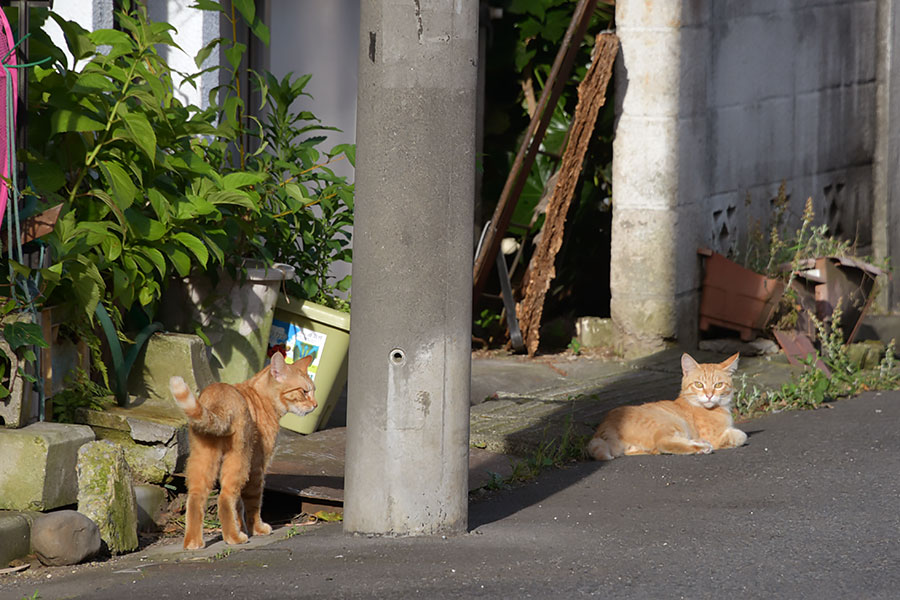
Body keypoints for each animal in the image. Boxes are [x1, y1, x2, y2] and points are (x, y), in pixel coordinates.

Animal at [169, 354, 316, 552]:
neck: (261, 398)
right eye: (304, 391)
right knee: (224, 497)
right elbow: (253, 503)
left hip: (203, 460)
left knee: (196, 497)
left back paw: (194, 542)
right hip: (240, 459)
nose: (315, 405)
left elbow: (238, 504)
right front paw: (256, 529)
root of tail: (219, 402)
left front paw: (242, 526)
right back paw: (234, 538)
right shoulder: (257, 467)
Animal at [584, 354, 744, 462]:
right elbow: (740, 436)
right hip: (673, 422)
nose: (709, 395)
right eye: (699, 384)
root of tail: (603, 426)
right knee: (663, 443)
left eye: (718, 385)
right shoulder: (714, 437)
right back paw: (701, 447)